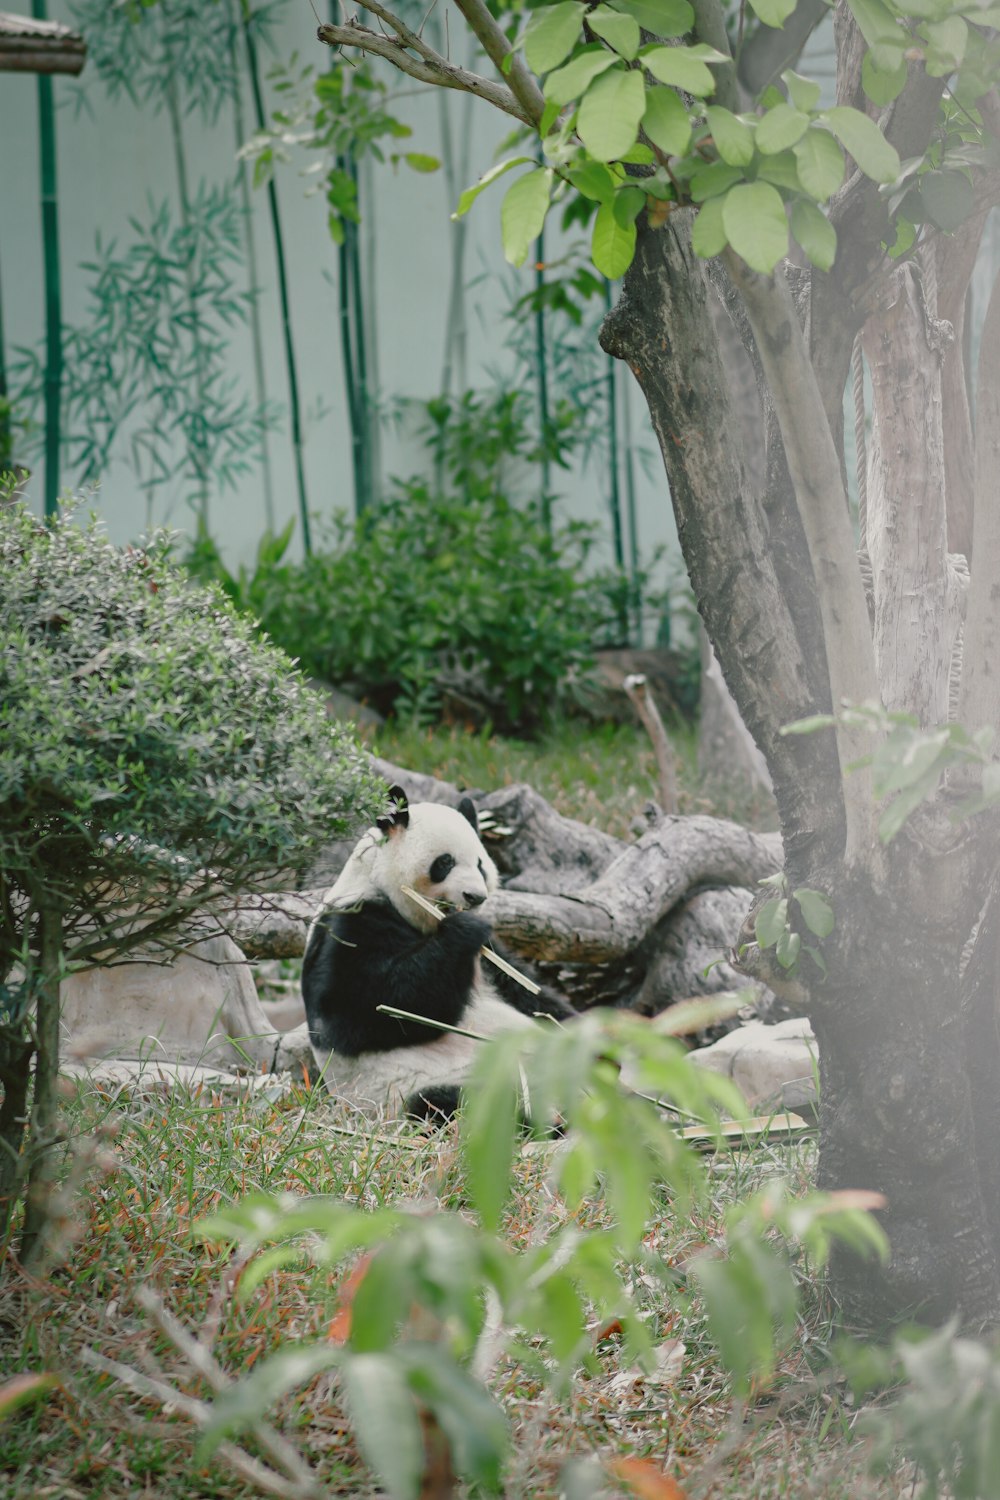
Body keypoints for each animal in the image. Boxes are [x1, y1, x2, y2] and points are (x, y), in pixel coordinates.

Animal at [301, 792, 575, 1122]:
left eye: (481, 865)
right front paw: (463, 929)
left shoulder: (489, 961)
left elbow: (527, 991)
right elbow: (365, 1007)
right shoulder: (351, 921)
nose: (475, 897)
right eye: (445, 862)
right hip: (416, 1090)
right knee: (467, 1105)